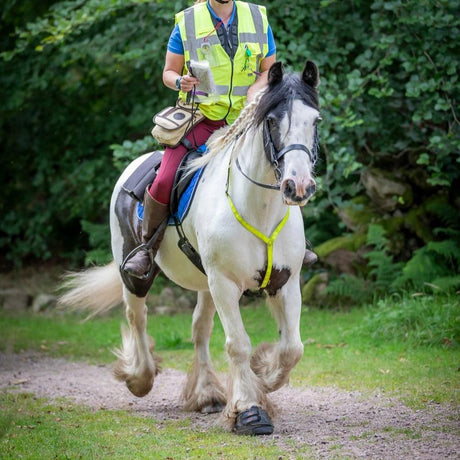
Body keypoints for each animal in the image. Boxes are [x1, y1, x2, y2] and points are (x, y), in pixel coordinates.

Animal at [60, 60, 320, 434]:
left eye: (315, 121)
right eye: (272, 121)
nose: (297, 186)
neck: (259, 209)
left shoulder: (285, 282)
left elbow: (292, 348)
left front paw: (263, 376)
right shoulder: (225, 283)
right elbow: (238, 345)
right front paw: (249, 410)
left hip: (205, 284)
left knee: (199, 329)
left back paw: (207, 394)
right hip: (138, 275)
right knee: (137, 316)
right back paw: (140, 378)